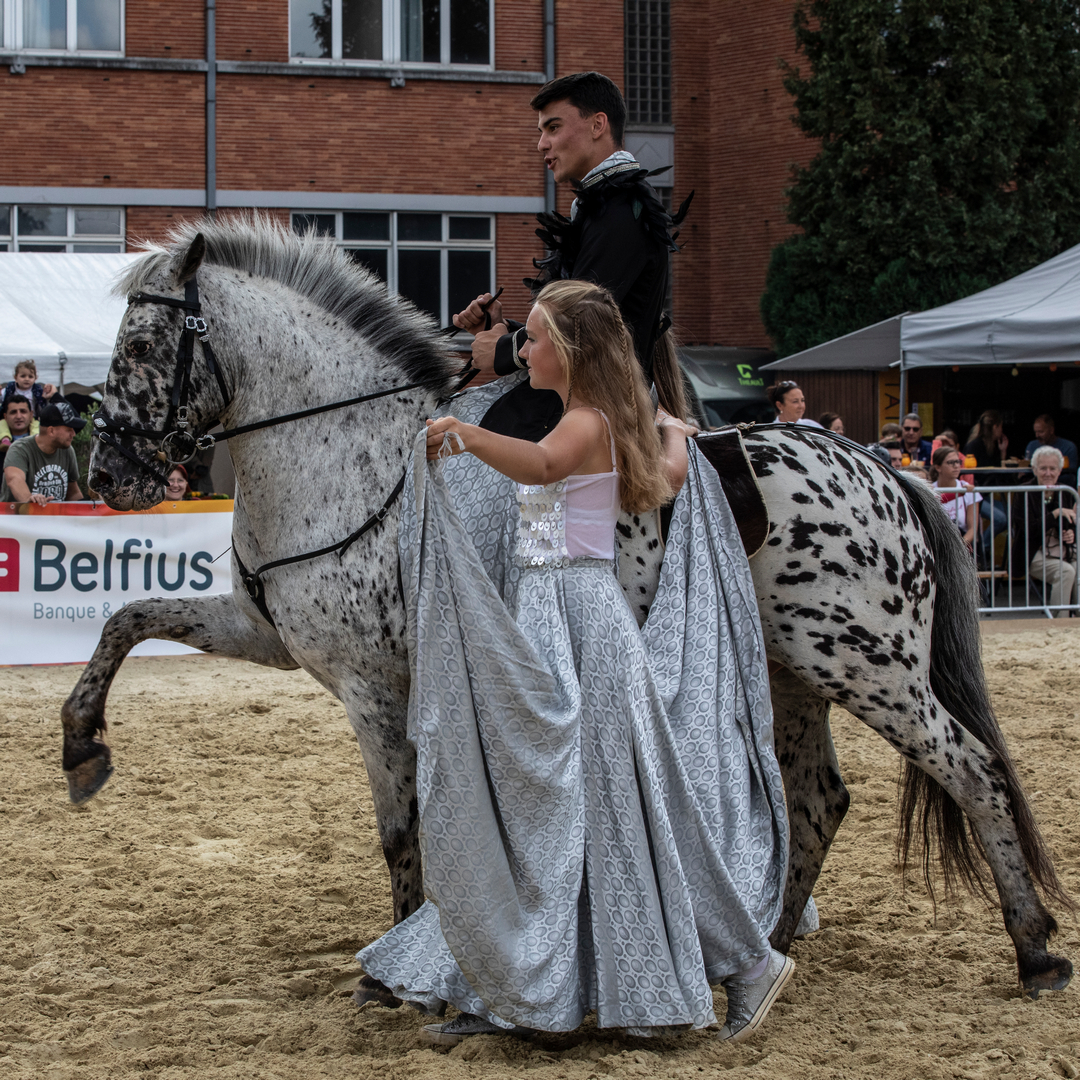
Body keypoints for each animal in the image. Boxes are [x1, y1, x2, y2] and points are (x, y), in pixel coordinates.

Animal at [61, 218, 1072, 1002]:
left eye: (142, 348)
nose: (110, 475)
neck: (353, 454)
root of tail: (886, 470)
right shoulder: (273, 635)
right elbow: (129, 618)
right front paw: (81, 746)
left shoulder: (371, 685)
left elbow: (402, 830)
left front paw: (394, 969)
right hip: (796, 672)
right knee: (819, 798)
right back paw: (768, 945)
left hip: (869, 665)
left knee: (972, 768)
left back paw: (1033, 950)